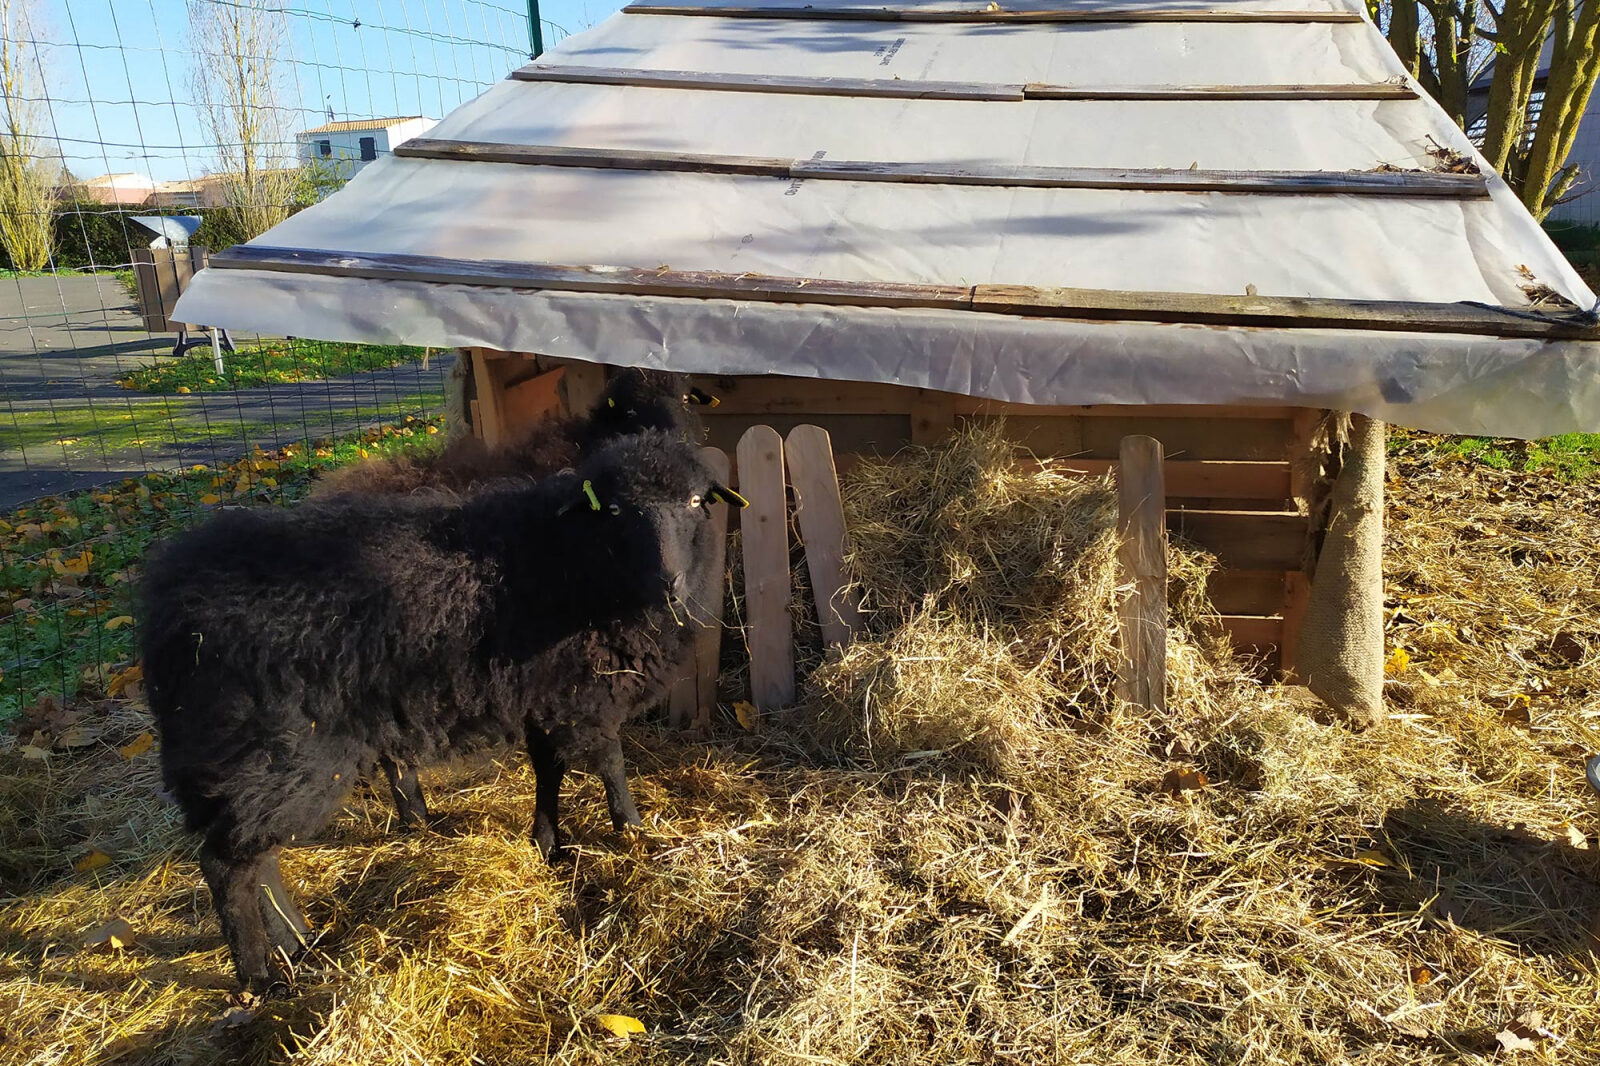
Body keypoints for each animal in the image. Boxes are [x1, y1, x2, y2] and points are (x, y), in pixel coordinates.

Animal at [141, 431, 742, 991]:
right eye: (614, 510)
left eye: (695, 501)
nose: (669, 583)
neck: (571, 558)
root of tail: (166, 605)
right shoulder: (583, 698)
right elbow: (612, 765)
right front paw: (633, 833)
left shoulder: (545, 695)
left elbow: (548, 773)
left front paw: (549, 844)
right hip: (284, 749)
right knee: (227, 863)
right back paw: (259, 978)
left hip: (258, 761)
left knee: (255, 855)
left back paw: (300, 945)